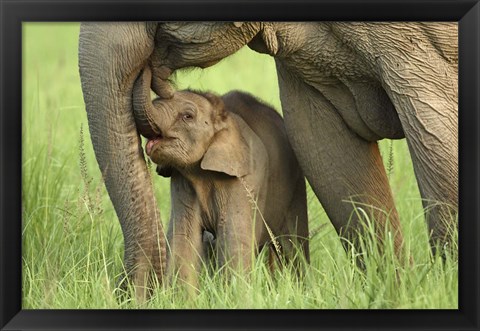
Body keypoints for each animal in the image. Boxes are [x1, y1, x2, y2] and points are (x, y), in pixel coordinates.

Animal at [133, 68, 310, 290]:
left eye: (187, 116)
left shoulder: (244, 179)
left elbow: (232, 236)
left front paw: (236, 294)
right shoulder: (183, 181)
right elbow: (184, 237)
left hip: (295, 186)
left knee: (293, 245)